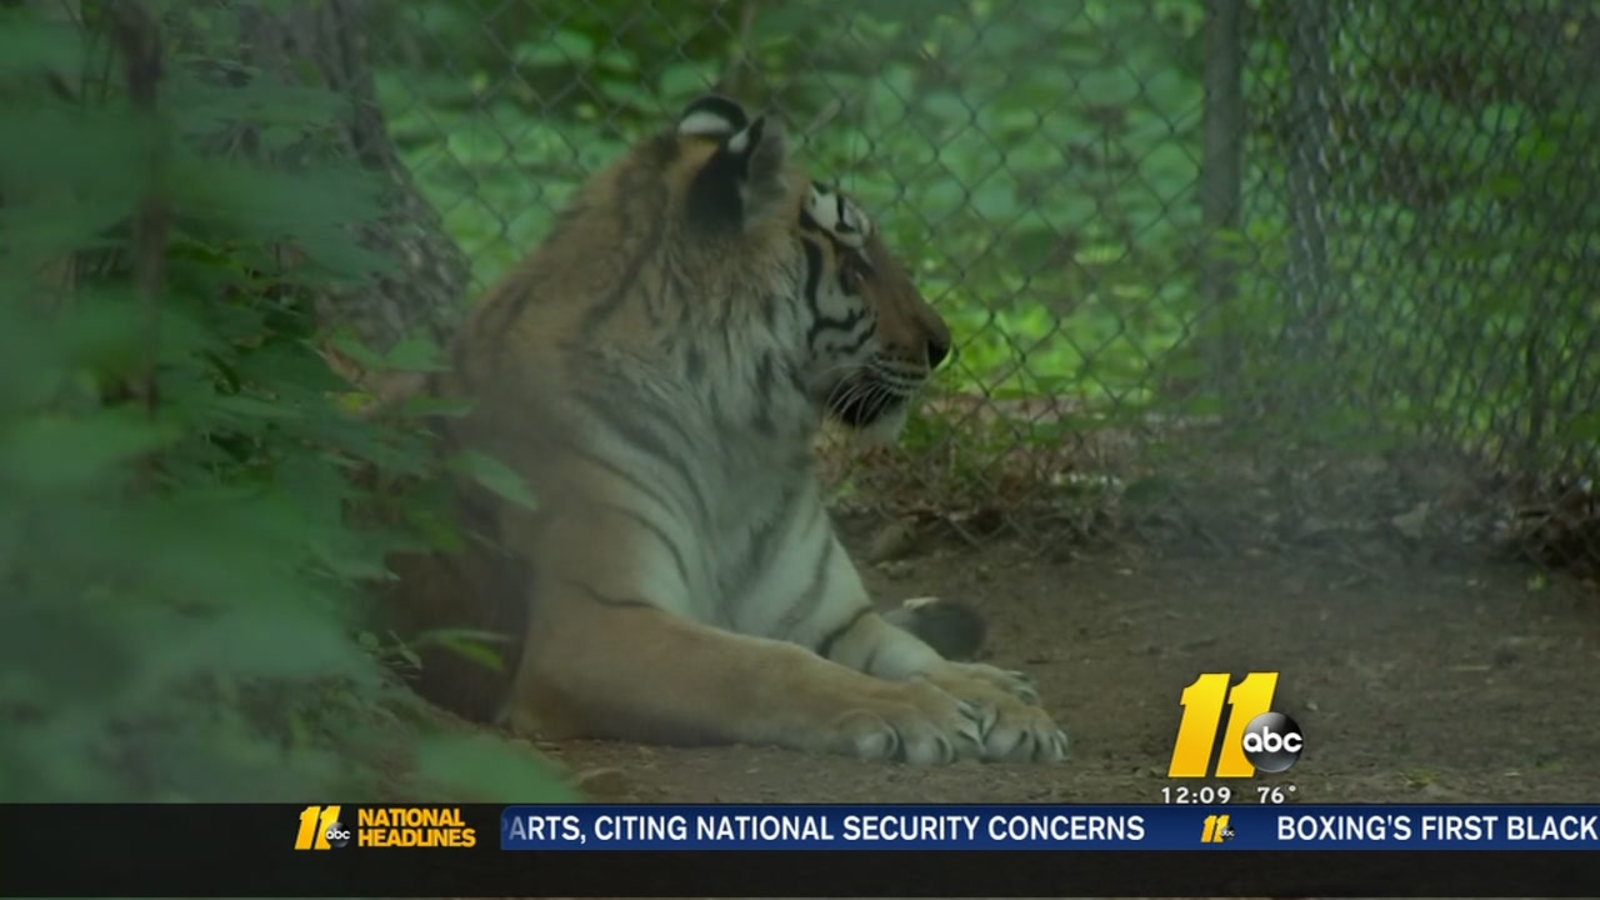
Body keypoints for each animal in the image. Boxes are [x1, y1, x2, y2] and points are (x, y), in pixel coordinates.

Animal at [389, 94, 1069, 764]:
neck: (745, 444)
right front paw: (915, 710)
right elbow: (769, 665)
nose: (943, 346)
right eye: (854, 261)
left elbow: (913, 654)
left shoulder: (834, 619)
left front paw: (1004, 706)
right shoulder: (595, 621)